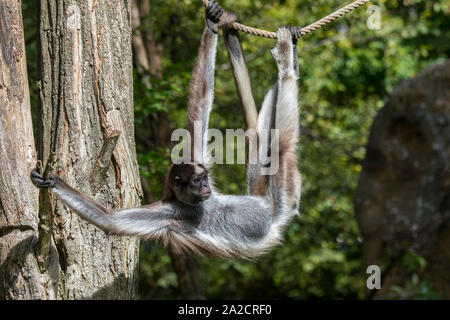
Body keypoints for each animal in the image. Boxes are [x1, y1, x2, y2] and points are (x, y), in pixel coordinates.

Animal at [29, 0, 300, 258]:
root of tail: (271, 212)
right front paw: (53, 183)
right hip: (284, 198)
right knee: (281, 145)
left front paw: (211, 22)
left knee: (262, 137)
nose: (206, 188)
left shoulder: (194, 162)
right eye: (197, 182)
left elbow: (201, 102)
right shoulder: (169, 214)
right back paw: (286, 62)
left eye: (204, 179)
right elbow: (109, 220)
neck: (193, 206)